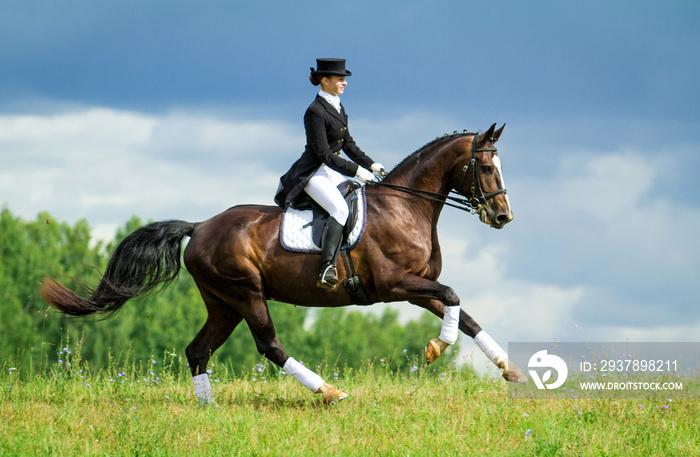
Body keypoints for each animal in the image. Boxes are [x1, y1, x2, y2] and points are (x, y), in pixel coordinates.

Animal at [39, 121, 524, 402]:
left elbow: (464, 314)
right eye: (486, 168)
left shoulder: (417, 286)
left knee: (198, 350)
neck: (406, 206)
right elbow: (454, 297)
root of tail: (200, 226)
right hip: (246, 292)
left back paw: (207, 407)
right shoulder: (395, 284)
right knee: (268, 345)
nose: (503, 217)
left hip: (223, 302)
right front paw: (435, 349)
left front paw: (509, 368)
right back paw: (327, 391)